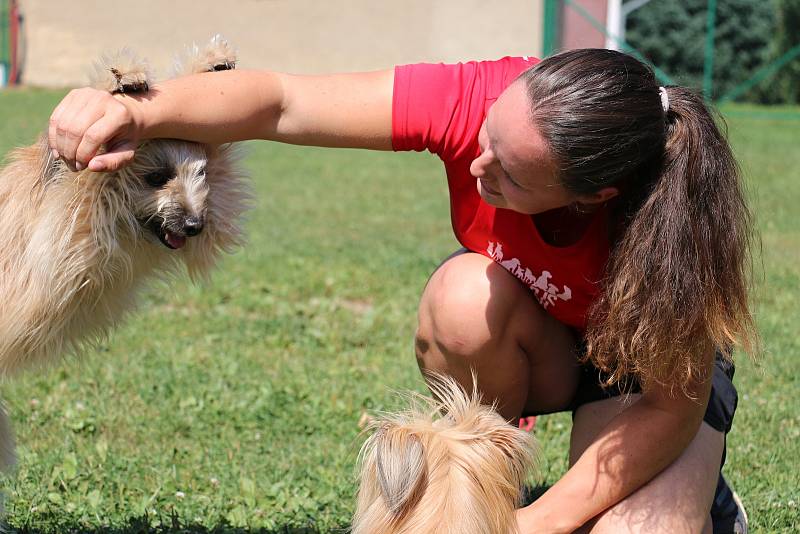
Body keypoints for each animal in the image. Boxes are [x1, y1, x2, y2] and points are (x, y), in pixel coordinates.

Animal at [0, 35, 250, 476]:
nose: (194, 226)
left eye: (198, 174)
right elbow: (86, 176)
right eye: (156, 177)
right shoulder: (63, 232)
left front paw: (211, 66)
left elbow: (217, 154)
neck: (121, 221)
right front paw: (121, 81)